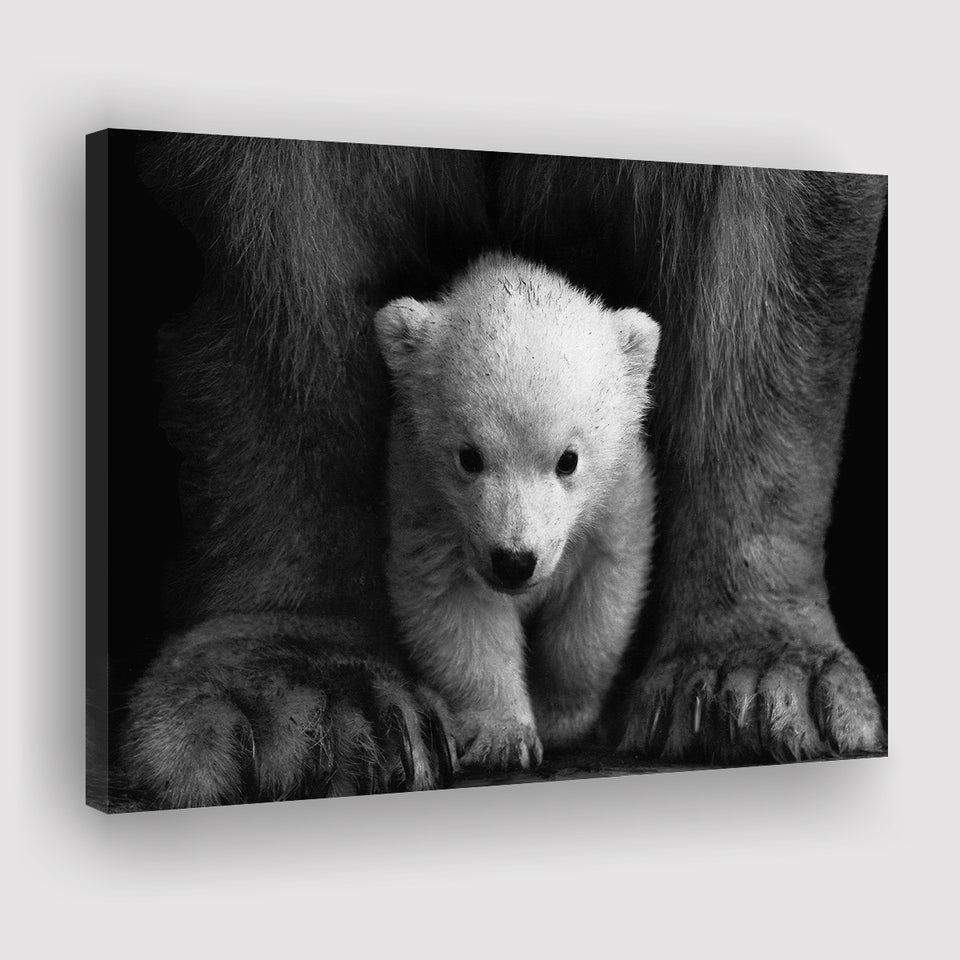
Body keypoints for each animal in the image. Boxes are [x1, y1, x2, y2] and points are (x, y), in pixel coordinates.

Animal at [373, 254, 659, 770]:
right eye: (469, 457)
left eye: (568, 459)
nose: (513, 561)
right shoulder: (426, 506)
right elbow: (457, 609)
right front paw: (505, 738)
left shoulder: (617, 502)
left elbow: (596, 605)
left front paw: (560, 718)